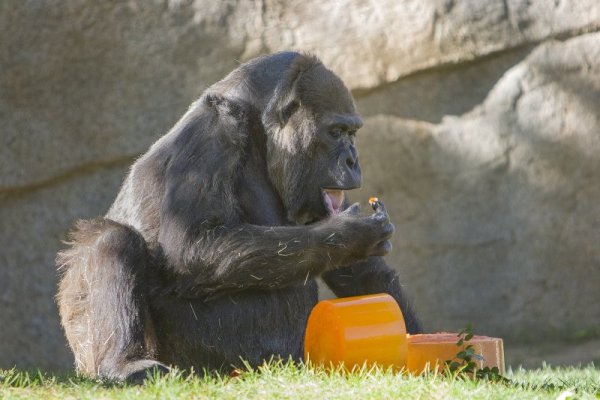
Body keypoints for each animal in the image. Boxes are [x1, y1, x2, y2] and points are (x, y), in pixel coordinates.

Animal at [57, 51, 422, 382]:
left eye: (352, 133)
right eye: (335, 132)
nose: (352, 160)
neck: (259, 124)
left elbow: (359, 272)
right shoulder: (213, 131)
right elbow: (193, 245)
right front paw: (351, 235)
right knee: (113, 240)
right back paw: (123, 364)